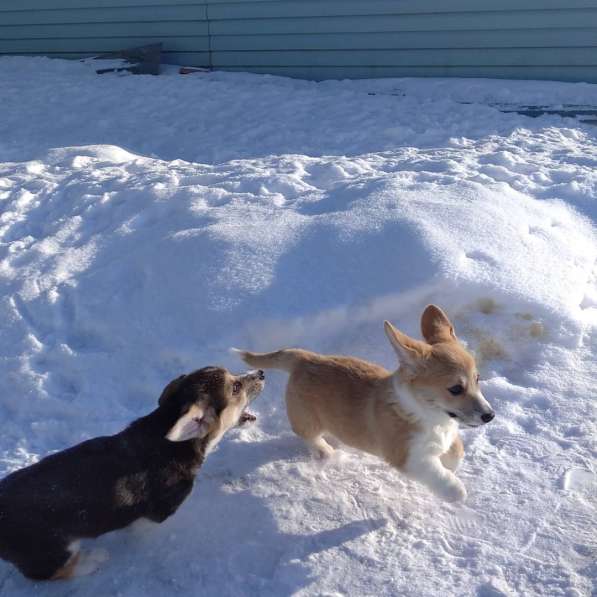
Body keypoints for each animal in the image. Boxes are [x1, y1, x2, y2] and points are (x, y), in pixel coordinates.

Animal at [237, 302, 494, 502]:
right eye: (455, 389)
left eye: (478, 379)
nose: (490, 416)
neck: (428, 415)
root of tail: (304, 358)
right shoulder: (409, 458)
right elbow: (438, 473)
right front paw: (455, 491)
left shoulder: (448, 435)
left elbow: (456, 451)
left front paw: (450, 462)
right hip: (307, 420)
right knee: (308, 435)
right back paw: (326, 451)